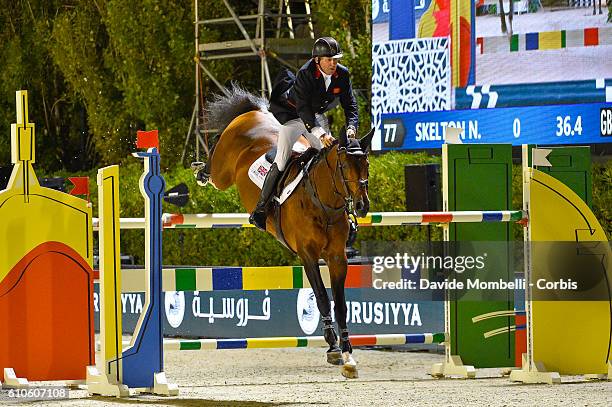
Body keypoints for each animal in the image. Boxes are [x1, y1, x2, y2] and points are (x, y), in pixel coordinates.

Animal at [198, 85, 376, 380]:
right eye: (344, 166)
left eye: (367, 166)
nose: (362, 207)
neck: (323, 202)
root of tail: (255, 112)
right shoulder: (308, 255)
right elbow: (322, 298)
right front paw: (333, 347)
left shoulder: (338, 257)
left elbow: (340, 304)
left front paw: (349, 355)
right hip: (222, 173)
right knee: (214, 162)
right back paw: (200, 168)